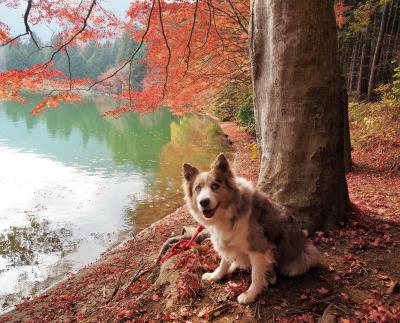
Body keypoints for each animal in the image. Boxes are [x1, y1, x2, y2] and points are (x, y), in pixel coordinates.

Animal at [183, 153, 320, 306]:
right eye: (198, 188)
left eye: (215, 186)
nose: (204, 202)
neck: (231, 211)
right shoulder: (226, 240)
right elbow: (223, 262)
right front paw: (215, 275)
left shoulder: (258, 249)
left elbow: (256, 275)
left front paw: (249, 295)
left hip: (303, 258)